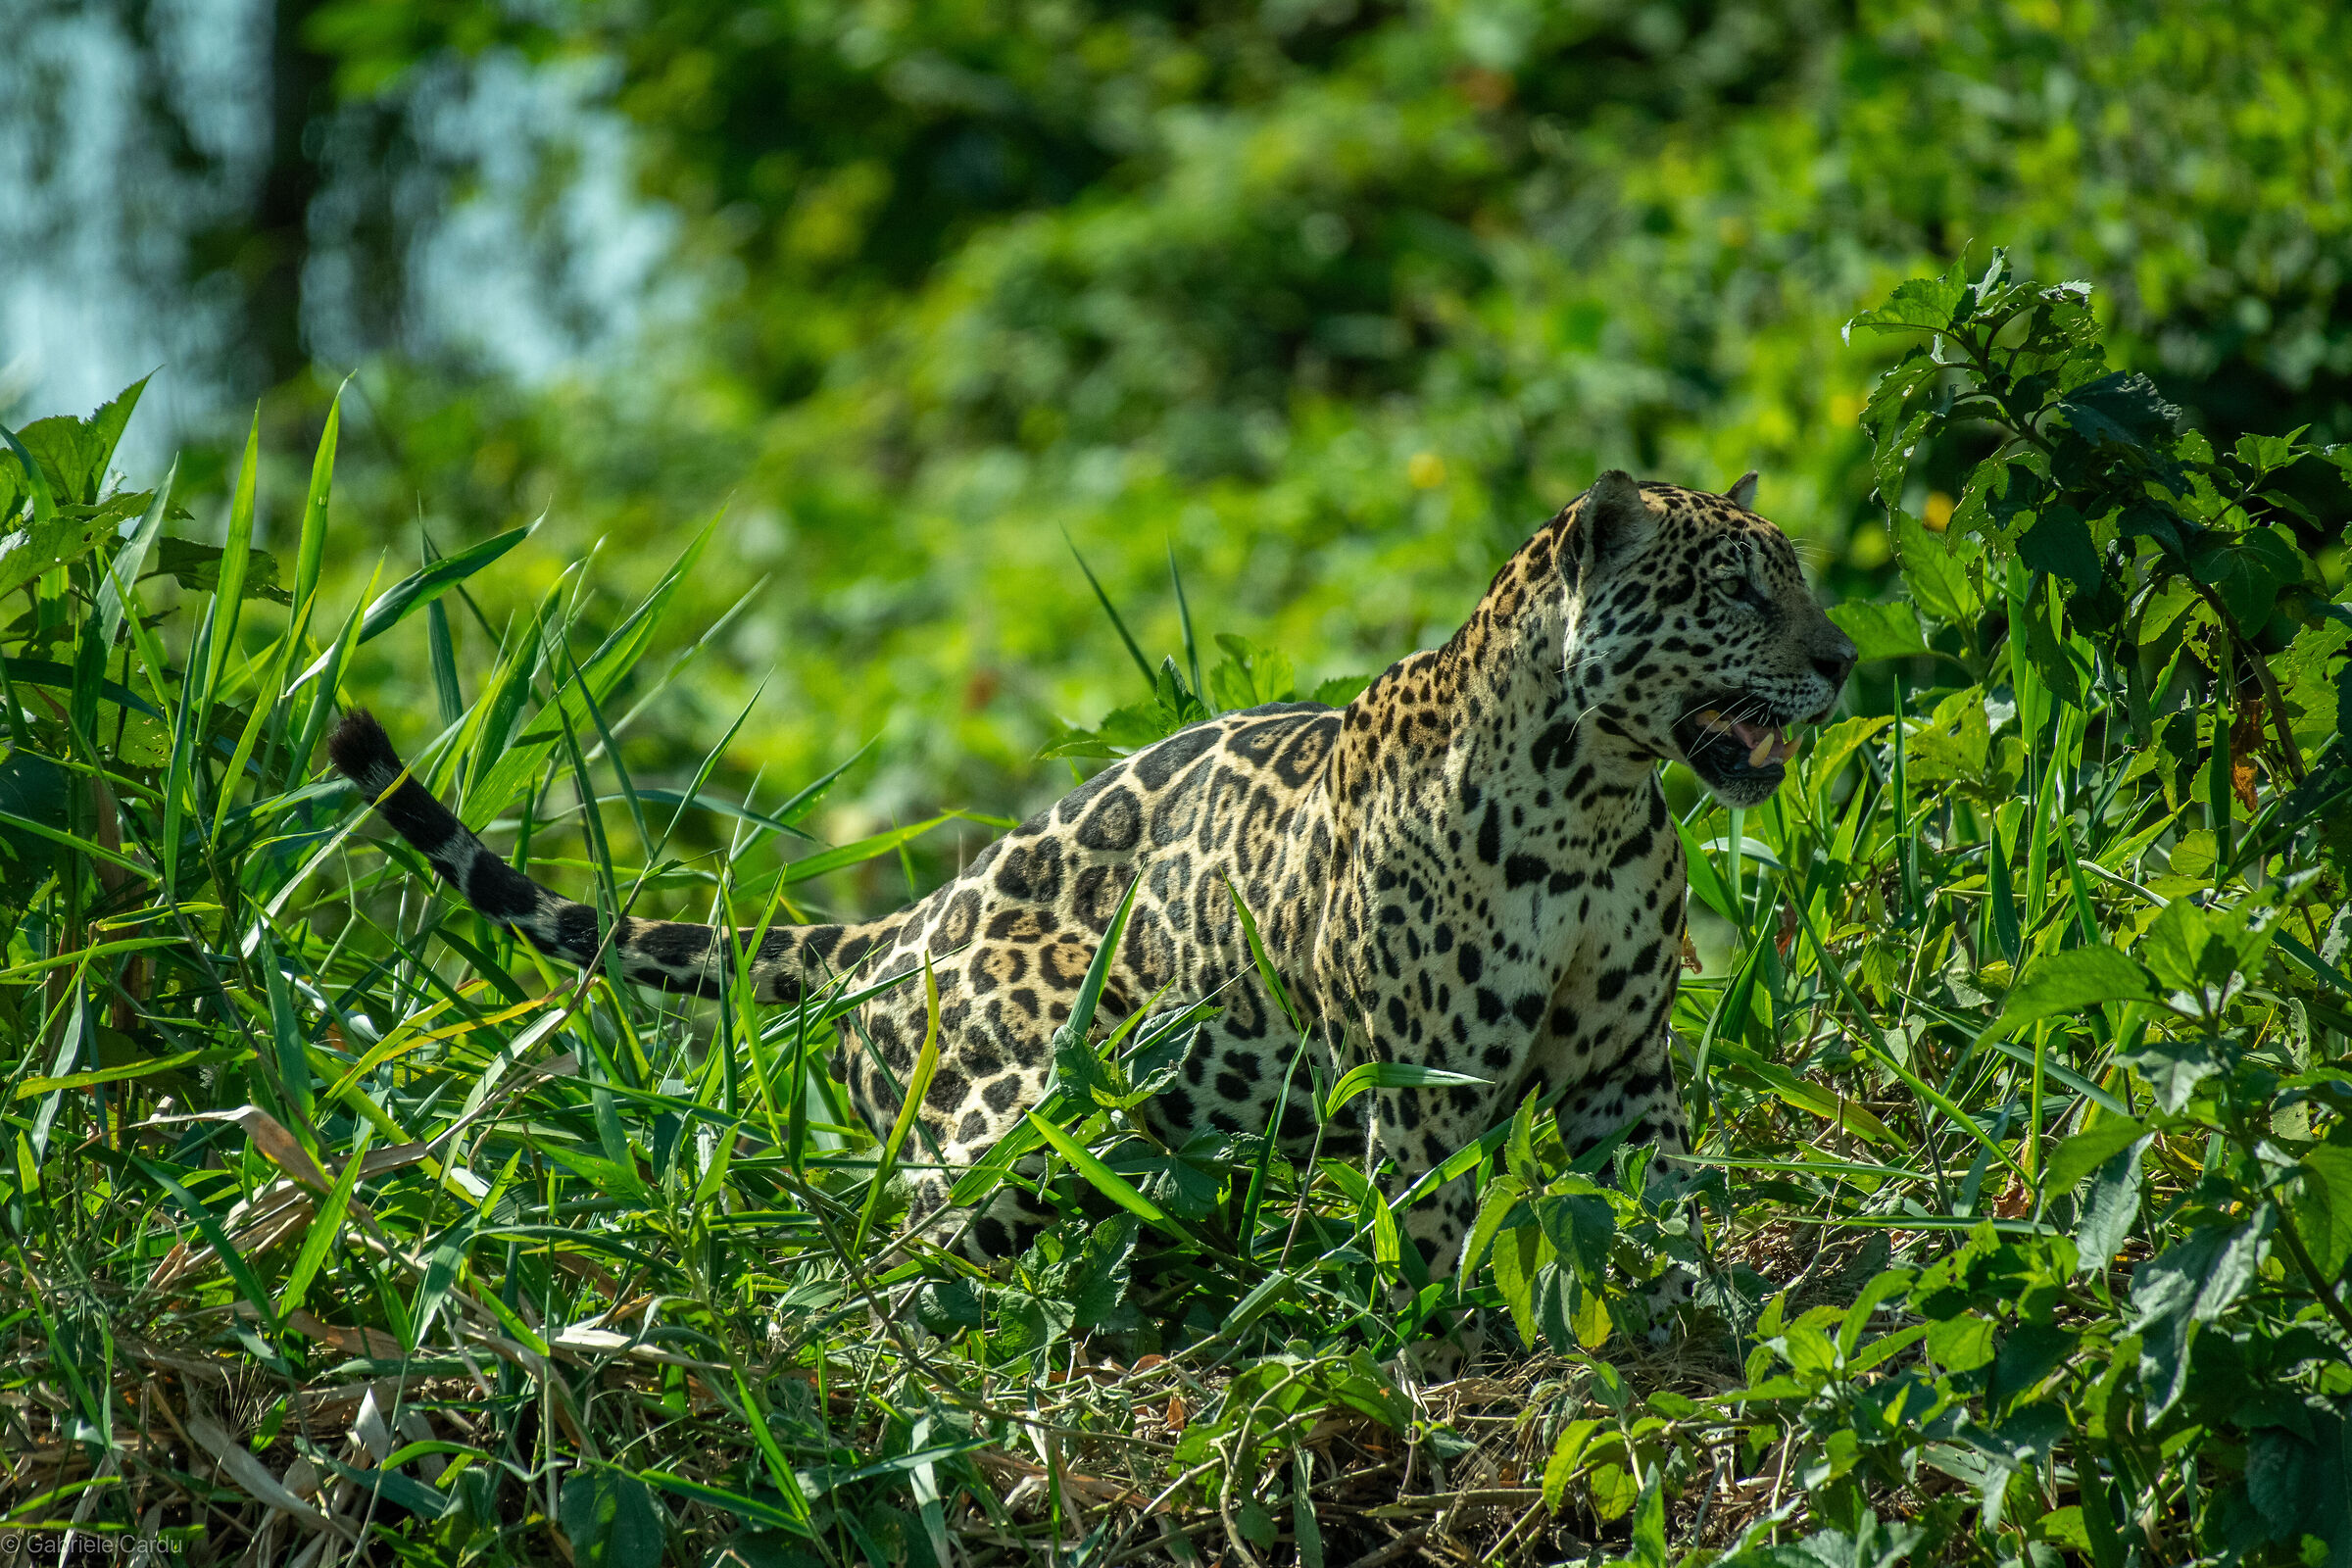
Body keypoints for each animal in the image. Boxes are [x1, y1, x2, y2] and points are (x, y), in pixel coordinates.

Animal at [328, 469, 1854, 1305]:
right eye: (1737, 594)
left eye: (1801, 581)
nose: (1844, 659)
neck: (1591, 801)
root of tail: (900, 927)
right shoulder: (1428, 1092)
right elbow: (1433, 1245)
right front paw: (1461, 1352)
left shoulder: (1622, 1067)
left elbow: (1662, 1209)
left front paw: (1704, 1313)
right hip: (1028, 1090)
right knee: (891, 1260)